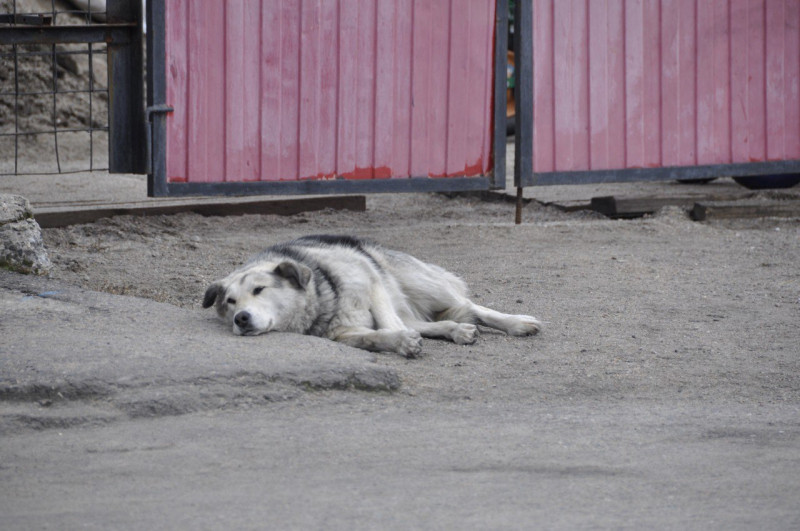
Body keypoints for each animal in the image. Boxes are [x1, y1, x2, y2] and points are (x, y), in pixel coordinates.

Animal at [203, 236, 544, 358]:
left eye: (259, 290)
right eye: (230, 302)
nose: (240, 319)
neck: (325, 293)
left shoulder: (371, 282)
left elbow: (387, 323)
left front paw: (402, 341)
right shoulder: (343, 334)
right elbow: (374, 337)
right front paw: (400, 343)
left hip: (422, 284)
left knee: (469, 305)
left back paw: (518, 323)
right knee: (430, 322)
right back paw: (456, 330)